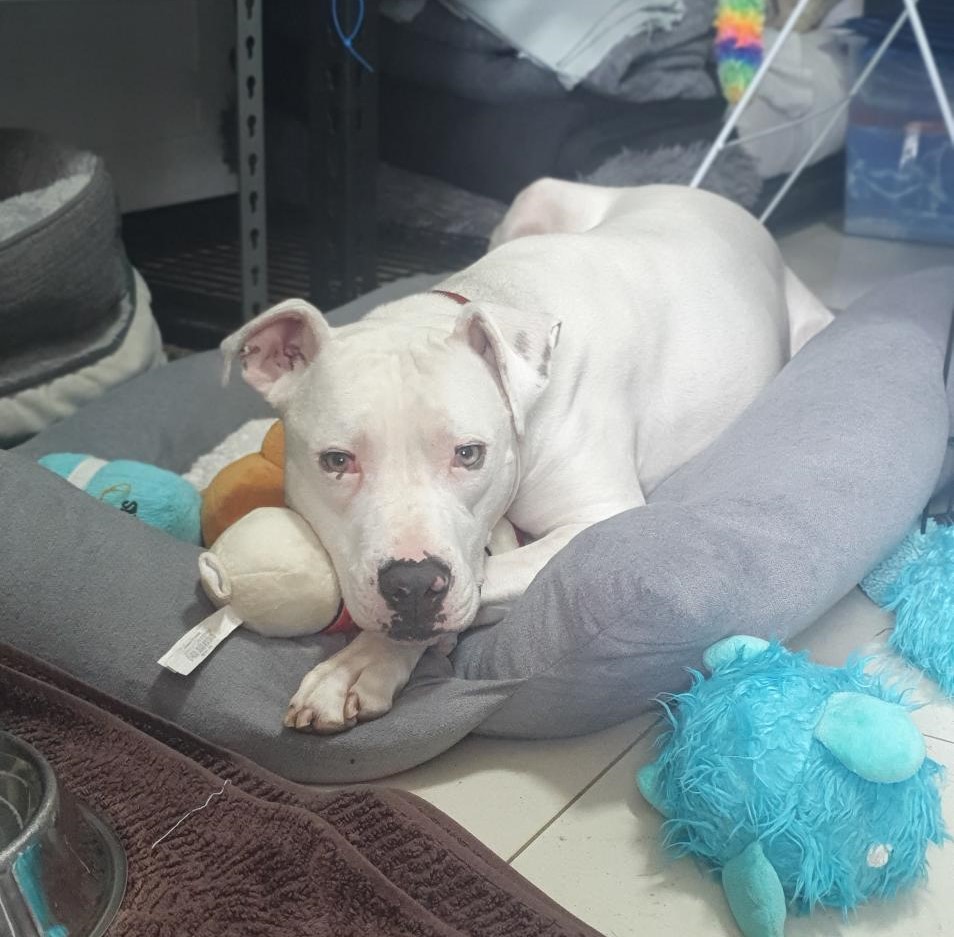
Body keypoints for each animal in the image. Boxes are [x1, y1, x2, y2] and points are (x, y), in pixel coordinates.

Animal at [222, 180, 833, 733]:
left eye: (469, 454)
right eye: (335, 461)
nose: (413, 586)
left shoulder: (597, 516)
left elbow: (489, 575)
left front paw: (364, 661)